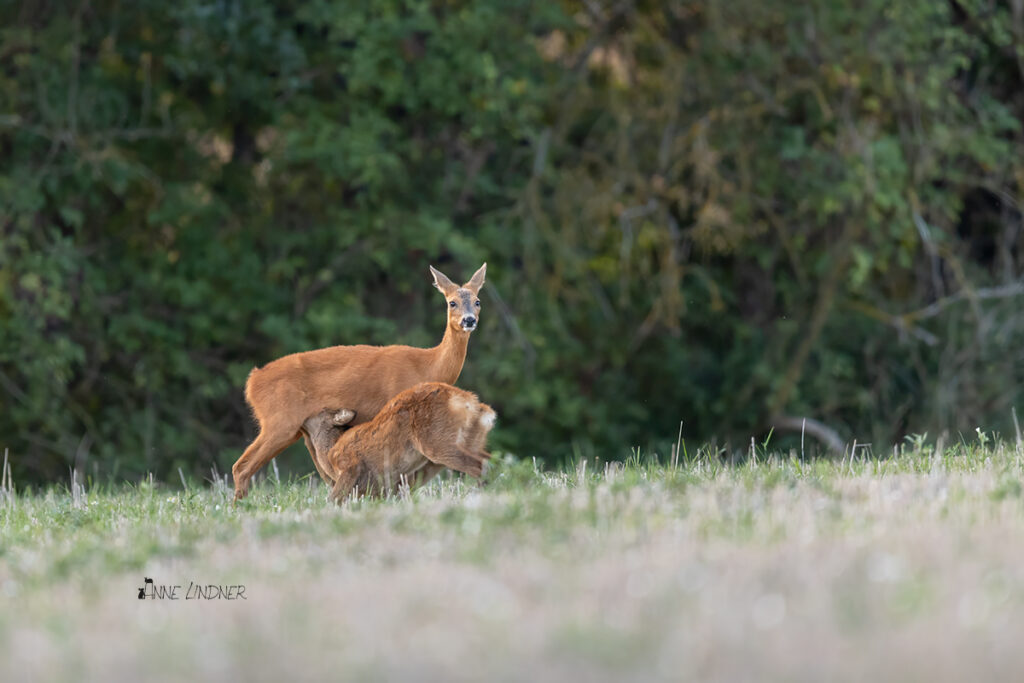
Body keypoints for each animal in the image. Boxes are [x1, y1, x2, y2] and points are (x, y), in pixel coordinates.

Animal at [301, 385, 497, 501]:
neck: (330, 453)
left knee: (481, 466)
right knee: (493, 460)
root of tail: (472, 403)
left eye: (319, 410)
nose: (301, 419)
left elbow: (332, 499)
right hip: (470, 441)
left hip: (437, 442)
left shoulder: (350, 465)